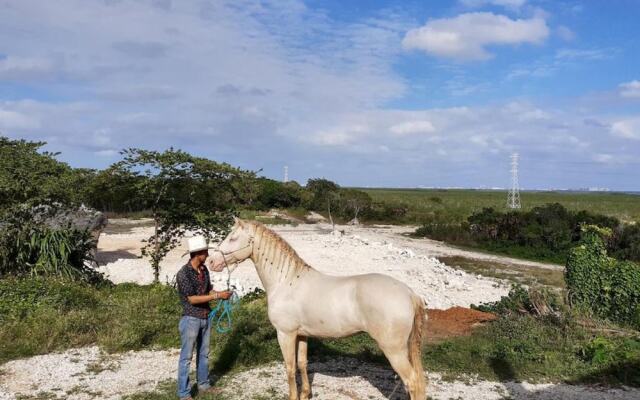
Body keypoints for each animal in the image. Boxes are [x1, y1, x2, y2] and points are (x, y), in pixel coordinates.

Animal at [210, 219, 428, 400]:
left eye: (233, 238)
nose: (212, 262)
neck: (286, 281)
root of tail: (410, 293)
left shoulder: (285, 334)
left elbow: (290, 368)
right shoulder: (302, 335)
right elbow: (302, 363)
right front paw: (305, 393)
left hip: (394, 350)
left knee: (413, 382)